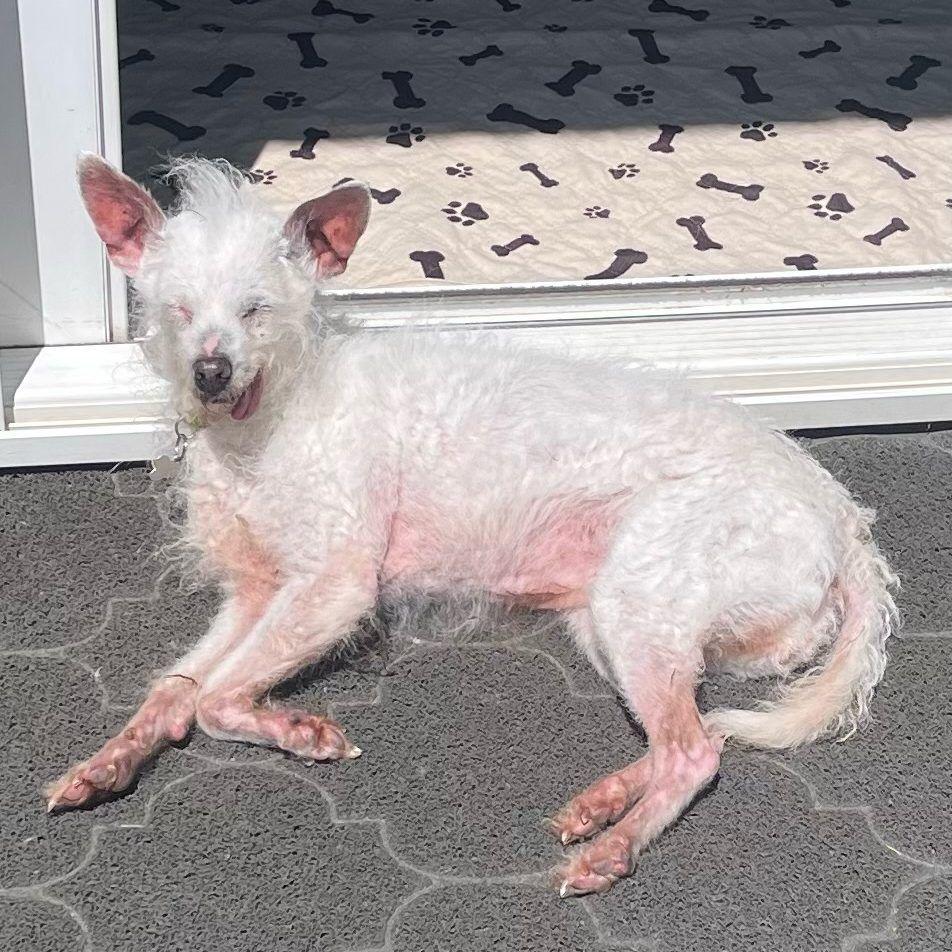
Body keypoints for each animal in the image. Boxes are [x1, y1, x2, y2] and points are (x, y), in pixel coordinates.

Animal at [50, 154, 900, 892]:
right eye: (178, 312)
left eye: (258, 310)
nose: (210, 372)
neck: (273, 417)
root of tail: (844, 521)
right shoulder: (257, 593)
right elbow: (175, 687)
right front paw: (105, 764)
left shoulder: (332, 587)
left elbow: (214, 699)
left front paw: (299, 732)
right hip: (615, 620)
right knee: (695, 736)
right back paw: (599, 806)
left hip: (644, 599)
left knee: (695, 753)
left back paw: (610, 849)